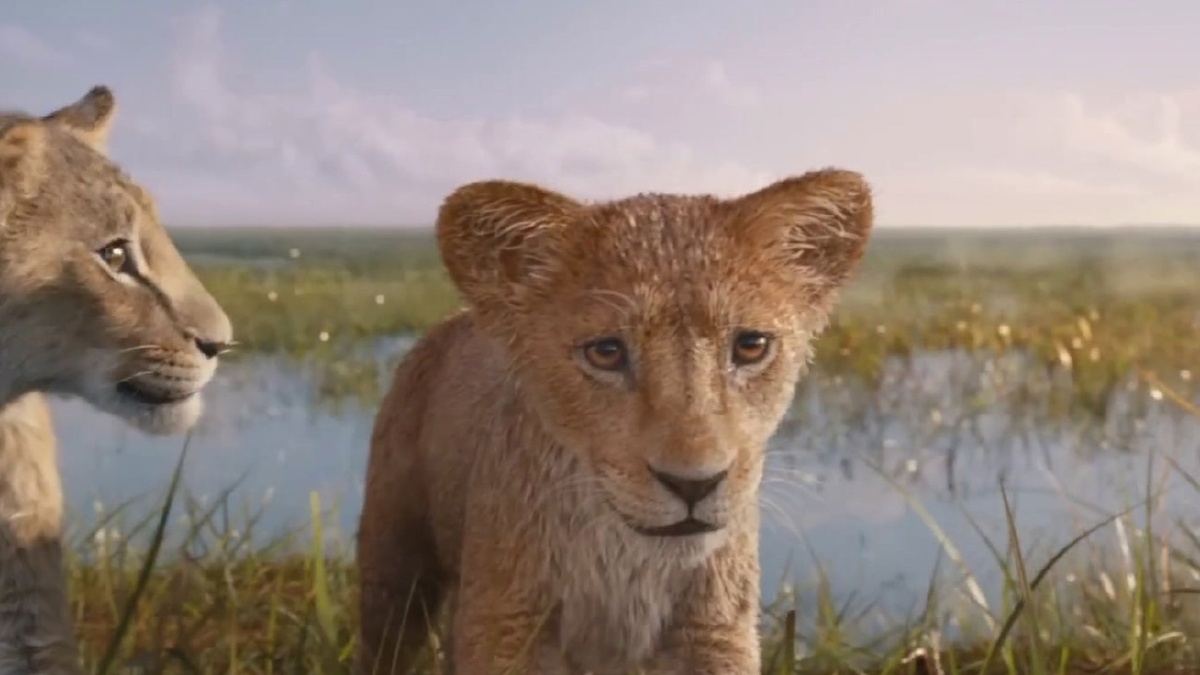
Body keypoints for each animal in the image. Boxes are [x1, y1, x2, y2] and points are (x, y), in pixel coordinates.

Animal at [356, 170, 874, 674]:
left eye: (750, 346)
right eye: (605, 352)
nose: (693, 485)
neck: (625, 561)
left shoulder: (715, 630)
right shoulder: (505, 625)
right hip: (392, 562)